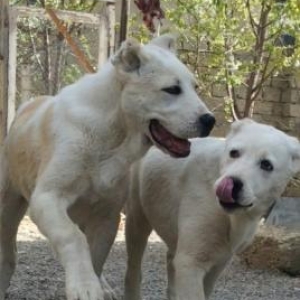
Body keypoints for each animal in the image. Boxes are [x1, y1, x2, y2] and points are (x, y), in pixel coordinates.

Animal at [0, 35, 216, 300]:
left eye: (195, 87)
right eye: (172, 89)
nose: (210, 120)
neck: (112, 135)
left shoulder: (107, 215)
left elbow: (96, 258)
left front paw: (92, 283)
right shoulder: (47, 198)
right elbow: (72, 237)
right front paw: (83, 285)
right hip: (8, 205)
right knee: (9, 250)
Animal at [124, 119, 300, 300]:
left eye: (266, 165)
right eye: (234, 153)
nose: (232, 183)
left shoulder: (220, 261)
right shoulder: (190, 263)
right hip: (137, 219)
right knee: (133, 268)